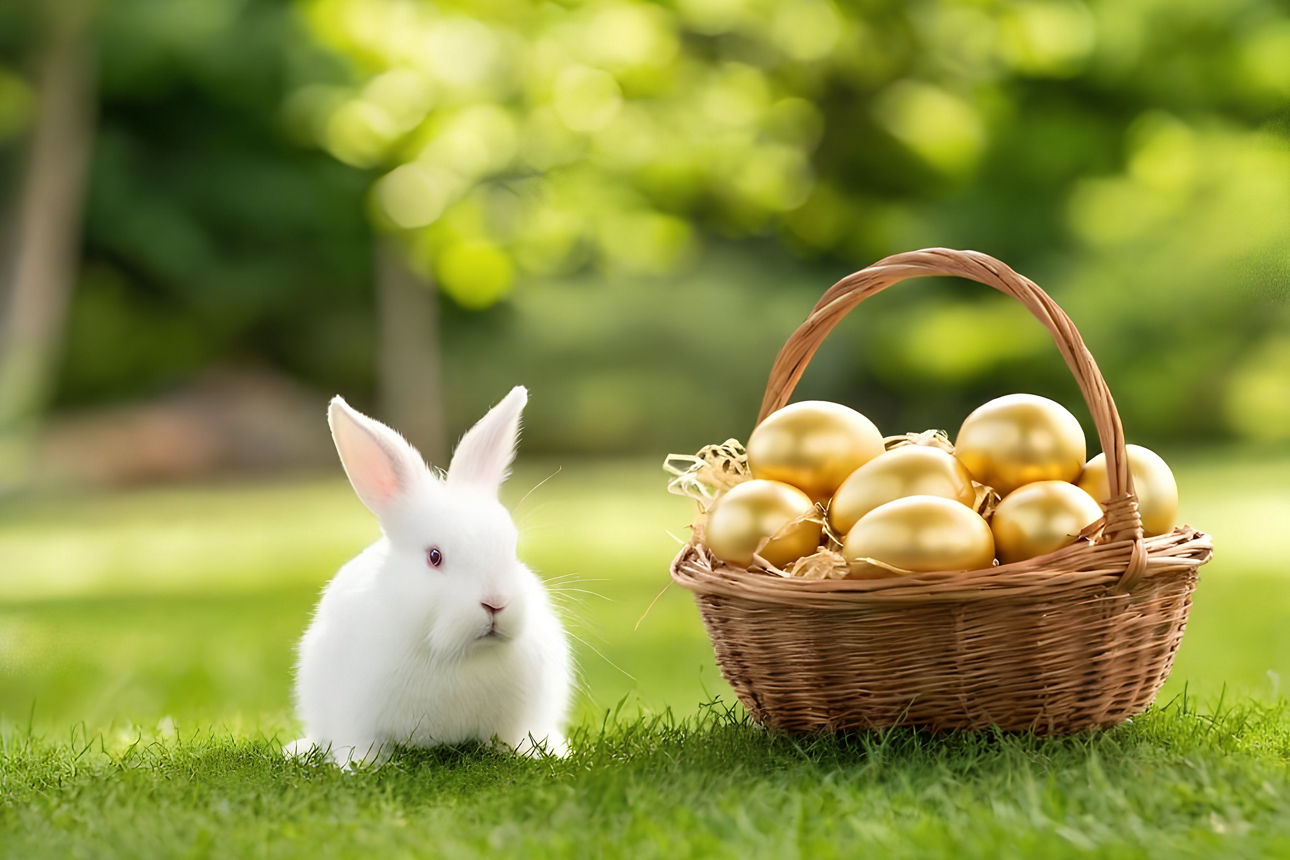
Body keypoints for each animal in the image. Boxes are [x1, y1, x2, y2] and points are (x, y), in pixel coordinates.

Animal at [285, 386, 571, 766]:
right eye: (435, 557)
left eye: (512, 547)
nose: (495, 603)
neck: (458, 656)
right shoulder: (355, 714)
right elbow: (359, 744)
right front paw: (361, 766)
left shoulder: (518, 719)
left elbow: (514, 739)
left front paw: (539, 753)